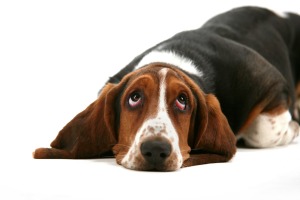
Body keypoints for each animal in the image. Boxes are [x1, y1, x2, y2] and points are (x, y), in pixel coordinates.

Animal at [34, 7, 298, 171]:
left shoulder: (273, 84)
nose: (155, 149)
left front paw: (292, 130)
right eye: (134, 97)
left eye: (183, 101)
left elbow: (263, 131)